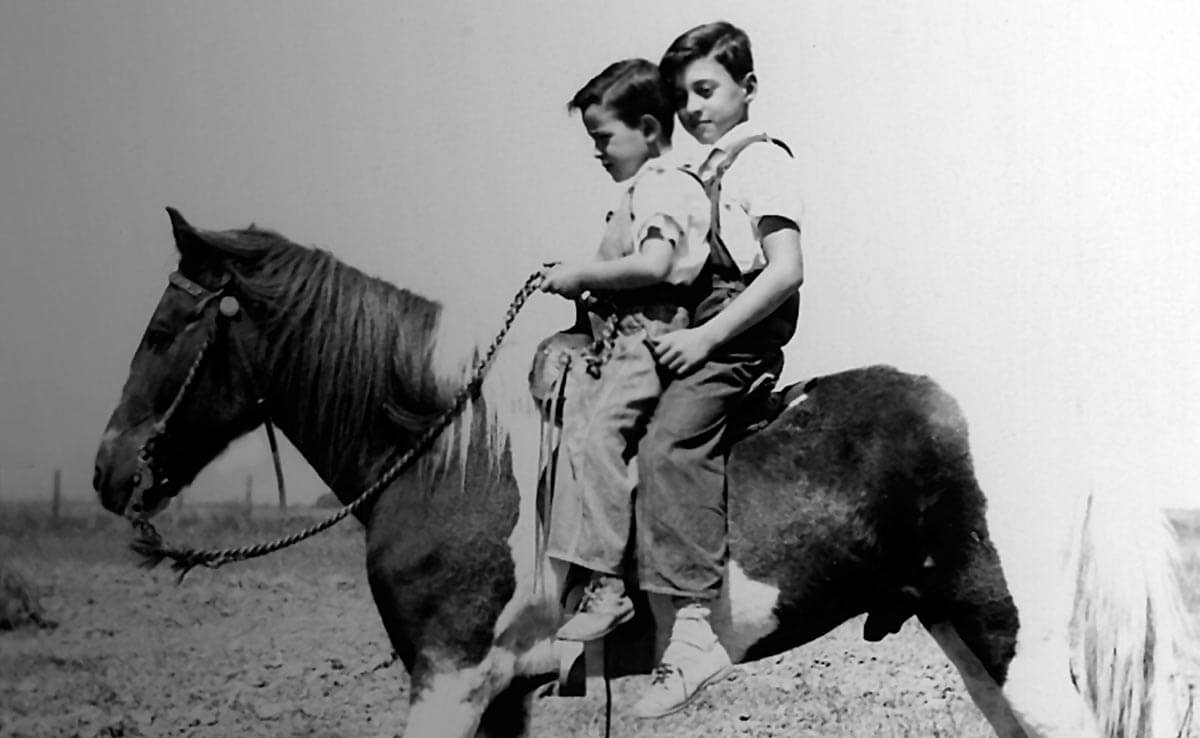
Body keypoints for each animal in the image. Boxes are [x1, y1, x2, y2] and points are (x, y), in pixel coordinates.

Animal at [93, 208, 1194, 738]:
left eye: (168, 326)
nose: (109, 472)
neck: (453, 457)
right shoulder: (500, 692)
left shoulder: (448, 681)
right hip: (970, 640)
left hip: (1013, 644)